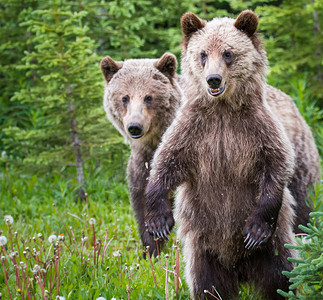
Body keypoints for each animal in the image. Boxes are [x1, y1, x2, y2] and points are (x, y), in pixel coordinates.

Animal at [101, 53, 182, 255]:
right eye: (125, 97)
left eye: (148, 97)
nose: (135, 126)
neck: (153, 143)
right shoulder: (141, 162)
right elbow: (142, 200)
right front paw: (152, 246)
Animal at [146, 9, 322, 300]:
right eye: (203, 53)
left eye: (228, 53)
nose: (213, 79)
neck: (223, 109)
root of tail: (240, 270)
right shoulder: (194, 131)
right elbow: (166, 162)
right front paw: (158, 221)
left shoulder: (257, 129)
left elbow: (276, 165)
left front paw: (255, 229)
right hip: (204, 249)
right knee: (207, 283)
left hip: (275, 247)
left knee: (281, 274)